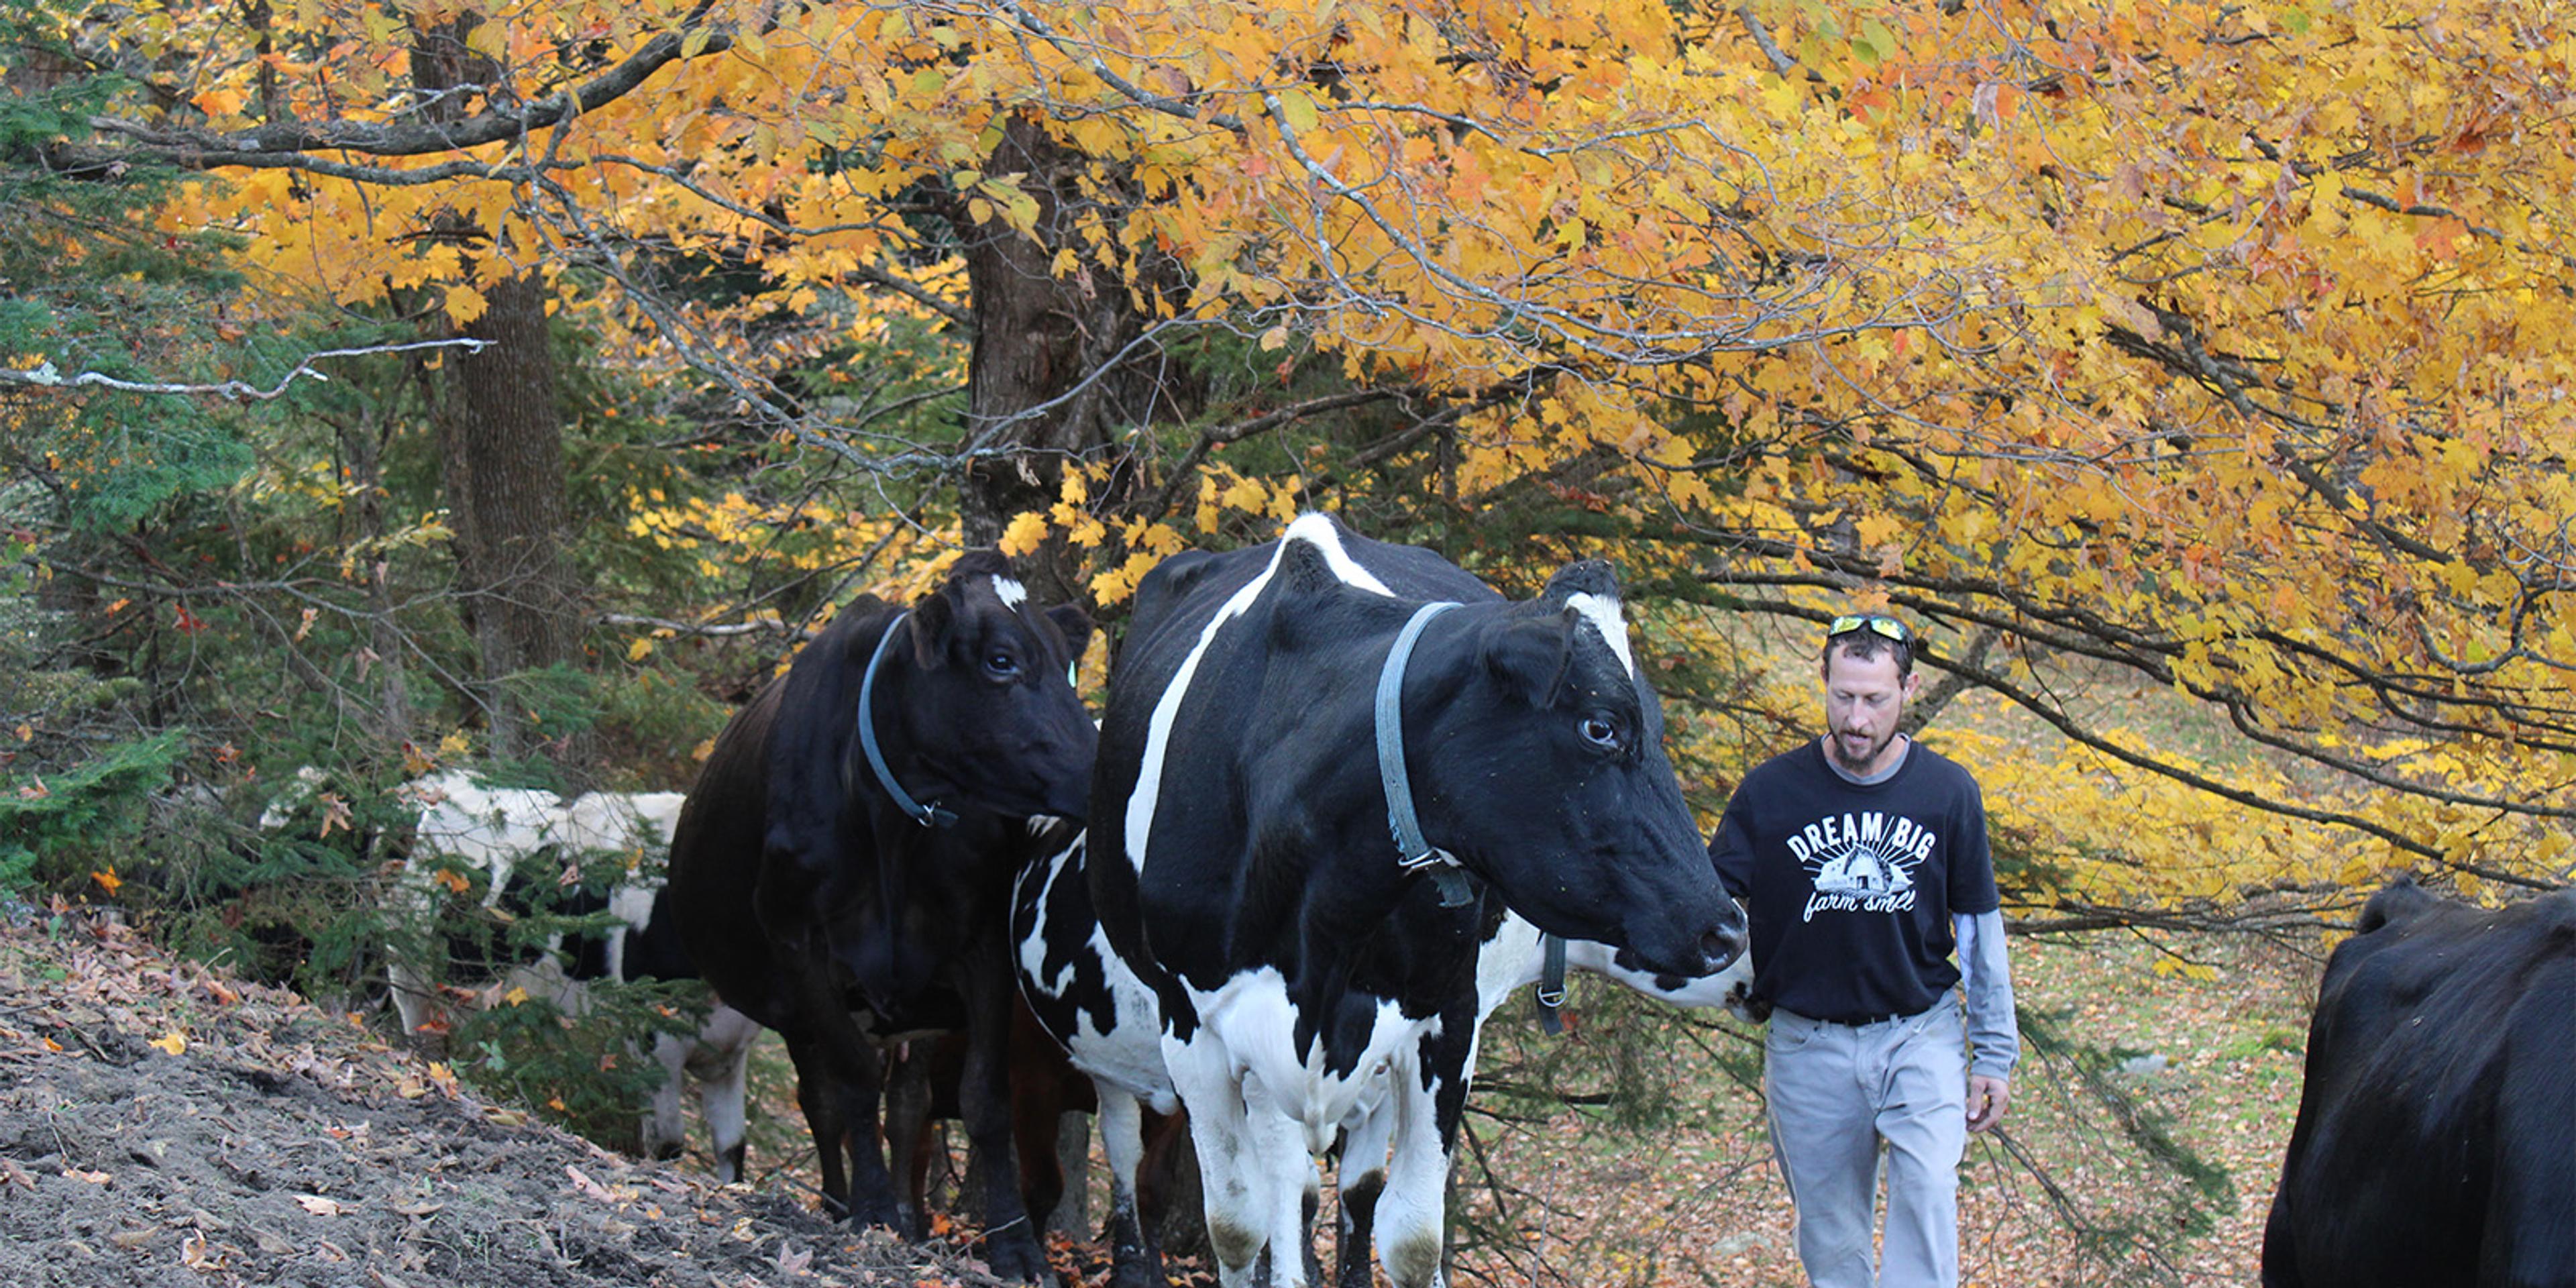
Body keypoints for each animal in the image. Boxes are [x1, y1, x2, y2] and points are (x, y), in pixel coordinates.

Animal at [664, 552, 1095, 1283]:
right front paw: (867, 1212)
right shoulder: (801, 946)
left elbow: (983, 1099)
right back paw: (843, 1204)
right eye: (1001, 660)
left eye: (1069, 662)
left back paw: (912, 1220)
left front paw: (1013, 1246)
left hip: (914, 1008)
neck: (895, 822)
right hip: (795, 1008)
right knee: (822, 1102)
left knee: (909, 1107)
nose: (1104, 771)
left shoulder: (981, 946)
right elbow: (853, 1087)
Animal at [1085, 513, 1747, 1288]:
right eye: (1602, 726)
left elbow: (1410, 1238)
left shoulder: (1447, 1021)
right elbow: (1239, 1227)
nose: (1727, 930)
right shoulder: (1192, 1027)